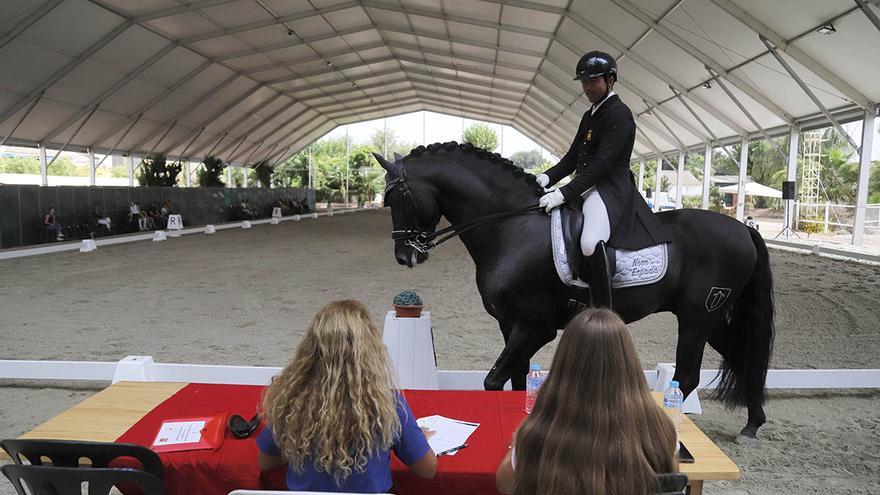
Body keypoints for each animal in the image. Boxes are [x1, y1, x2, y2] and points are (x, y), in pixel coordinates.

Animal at [374, 141, 772, 440]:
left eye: (397, 199)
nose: (405, 256)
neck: (511, 228)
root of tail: (743, 228)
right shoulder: (510, 325)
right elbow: (517, 381)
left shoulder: (535, 327)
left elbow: (493, 381)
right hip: (711, 319)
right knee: (744, 358)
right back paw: (752, 424)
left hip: (696, 319)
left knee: (688, 377)